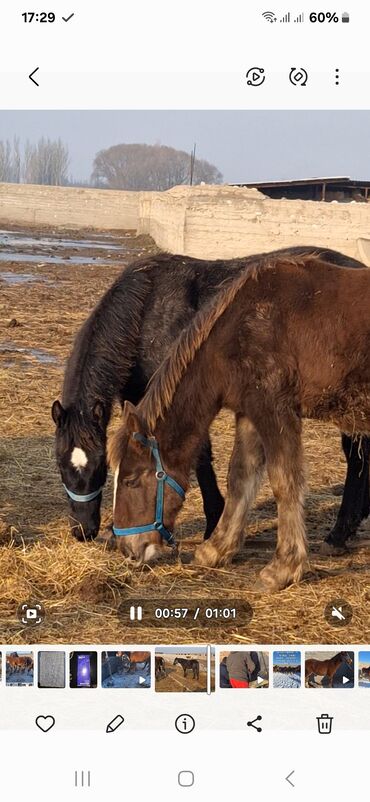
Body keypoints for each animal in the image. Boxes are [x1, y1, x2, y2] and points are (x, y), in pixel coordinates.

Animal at [109, 253, 370, 592]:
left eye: (131, 480)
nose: (129, 550)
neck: (243, 329)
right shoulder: (248, 413)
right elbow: (240, 476)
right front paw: (216, 549)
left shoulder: (274, 409)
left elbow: (284, 481)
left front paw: (283, 568)